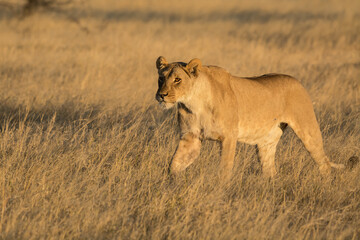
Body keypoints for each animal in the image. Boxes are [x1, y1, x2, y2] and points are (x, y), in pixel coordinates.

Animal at [155, 56, 346, 179]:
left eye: (178, 80)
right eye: (161, 79)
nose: (162, 95)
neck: (194, 102)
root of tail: (297, 81)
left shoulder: (229, 137)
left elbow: (224, 169)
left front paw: (220, 192)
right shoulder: (190, 138)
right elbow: (175, 164)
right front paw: (170, 185)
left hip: (308, 130)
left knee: (324, 163)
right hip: (266, 143)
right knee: (270, 171)